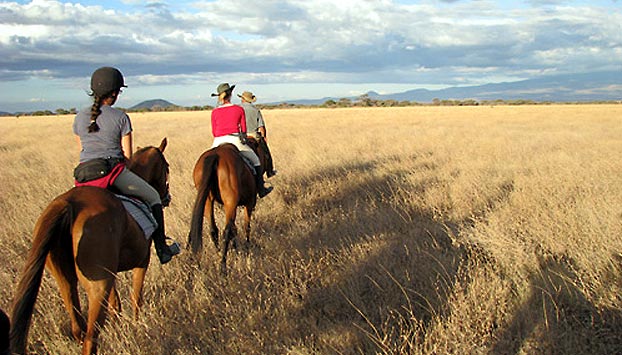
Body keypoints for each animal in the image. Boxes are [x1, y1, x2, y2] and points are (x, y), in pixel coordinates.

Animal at [9, 138, 174, 355]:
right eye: (167, 167)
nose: (166, 197)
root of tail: (68, 203)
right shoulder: (142, 262)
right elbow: (136, 298)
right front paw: (138, 326)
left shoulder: (111, 272)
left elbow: (115, 304)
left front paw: (119, 330)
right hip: (98, 285)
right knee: (89, 337)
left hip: (66, 280)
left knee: (77, 328)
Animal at [188, 143, 260, 274]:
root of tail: (215, 155)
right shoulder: (249, 203)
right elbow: (246, 227)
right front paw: (247, 250)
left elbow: (235, 229)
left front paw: (237, 251)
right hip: (230, 202)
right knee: (226, 232)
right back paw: (223, 266)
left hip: (208, 200)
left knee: (214, 230)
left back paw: (218, 254)